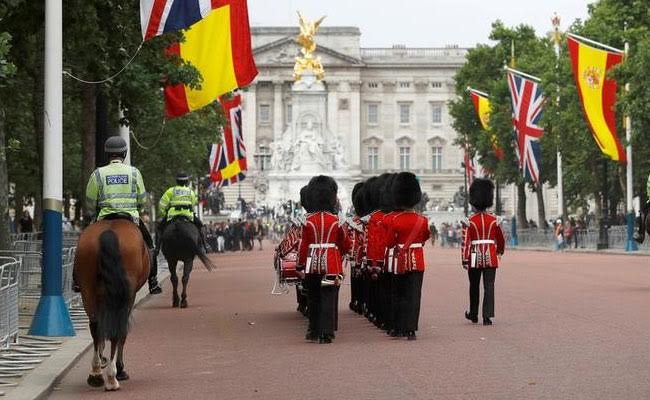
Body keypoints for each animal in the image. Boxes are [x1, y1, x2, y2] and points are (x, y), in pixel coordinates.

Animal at [73, 219, 149, 390]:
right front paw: (120, 369)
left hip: (88, 290)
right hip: (123, 297)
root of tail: (109, 231)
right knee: (117, 328)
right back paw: (113, 376)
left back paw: (96, 373)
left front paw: (101, 359)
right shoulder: (129, 297)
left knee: (95, 325)